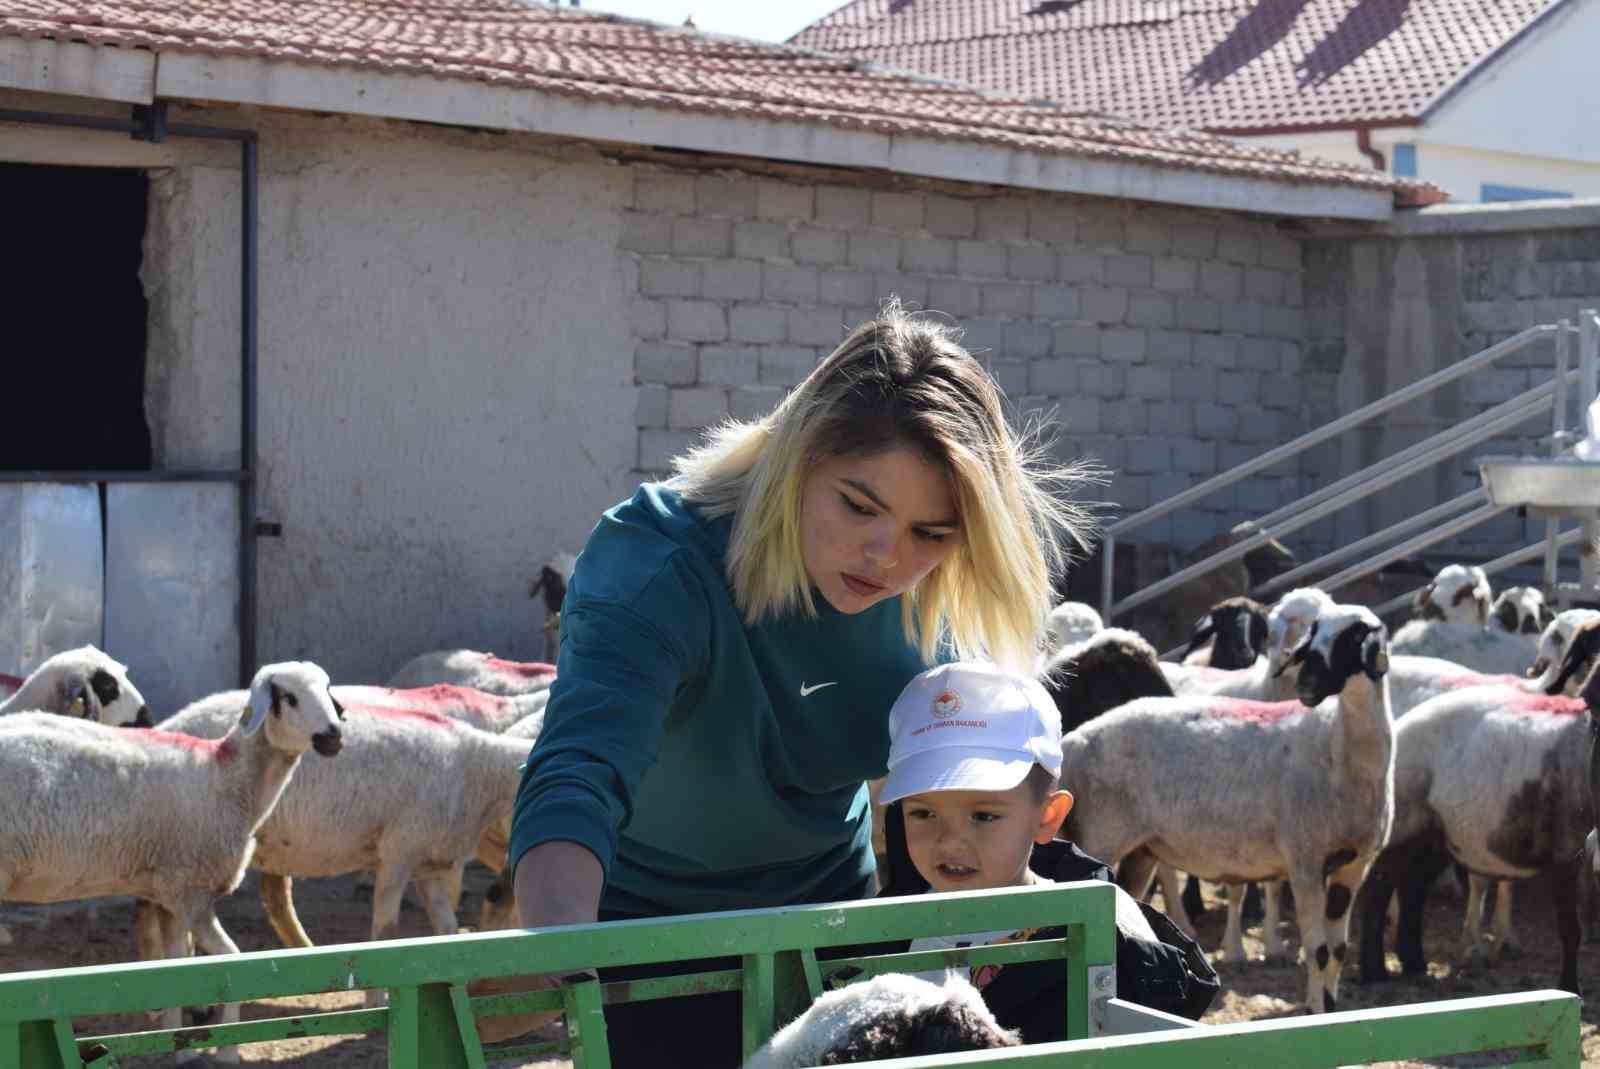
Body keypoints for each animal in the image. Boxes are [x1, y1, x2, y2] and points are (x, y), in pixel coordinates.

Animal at [0, 659, 340, 1062]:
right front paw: (227, 1051)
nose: (334, 736)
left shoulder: (168, 896)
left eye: (327, 688)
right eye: (288, 697)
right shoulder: (192, 892)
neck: (226, 779)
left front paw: (180, 1049)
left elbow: (174, 969)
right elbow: (231, 961)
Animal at [1068, 604, 1395, 1017]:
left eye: (1353, 637)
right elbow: (1318, 951)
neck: (1337, 748)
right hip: (1100, 836)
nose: (1307, 685)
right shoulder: (1305, 861)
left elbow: (1337, 951)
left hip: (1141, 850)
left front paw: (1332, 1006)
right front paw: (1318, 1013)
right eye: (1315, 632)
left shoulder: (1354, 865)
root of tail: (1074, 741)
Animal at [1356, 617, 1600, 992]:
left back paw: (1415, 964)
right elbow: (1570, 930)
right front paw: (1569, 988)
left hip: (1437, 834)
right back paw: (1374, 972)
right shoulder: (1565, 851)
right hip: (1403, 826)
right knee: (1379, 887)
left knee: (1413, 888)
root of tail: (1401, 726)